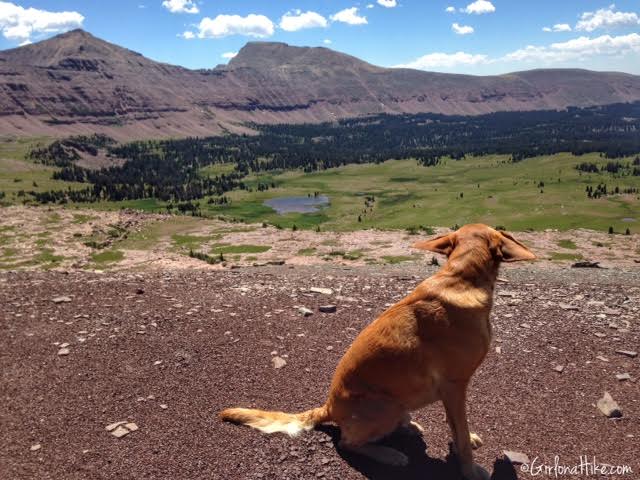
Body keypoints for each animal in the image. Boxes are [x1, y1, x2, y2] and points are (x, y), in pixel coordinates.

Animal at [220, 225, 536, 480]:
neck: (462, 277)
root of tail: (329, 407)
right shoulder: (455, 385)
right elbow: (458, 428)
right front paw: (469, 468)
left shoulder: (451, 391)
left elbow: (455, 425)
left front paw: (465, 440)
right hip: (386, 405)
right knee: (347, 443)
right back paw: (390, 454)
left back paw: (408, 426)